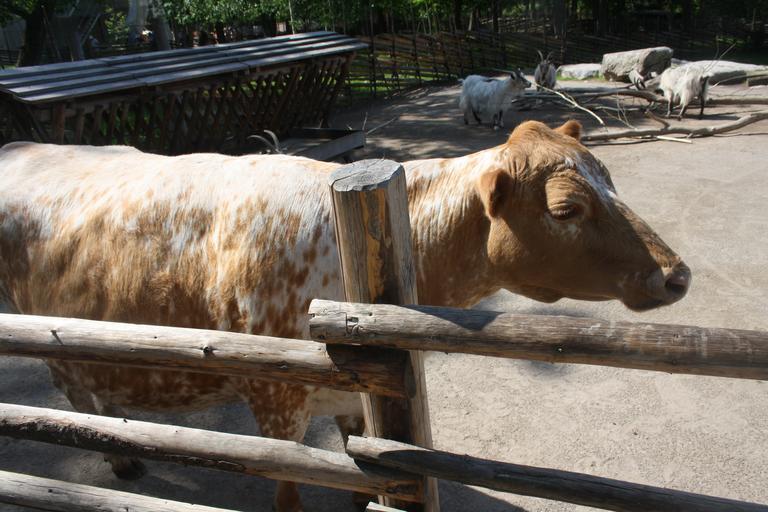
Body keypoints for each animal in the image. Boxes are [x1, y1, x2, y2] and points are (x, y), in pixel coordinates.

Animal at [0, 120, 690, 511]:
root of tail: (19, 142)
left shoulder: (357, 403)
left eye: (611, 180)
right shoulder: (275, 401)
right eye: (566, 209)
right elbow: (288, 493)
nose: (675, 273)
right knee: (70, 383)